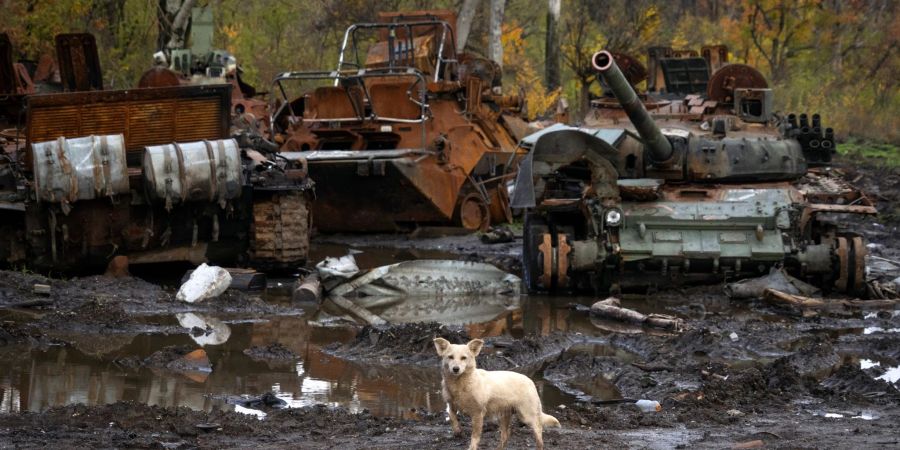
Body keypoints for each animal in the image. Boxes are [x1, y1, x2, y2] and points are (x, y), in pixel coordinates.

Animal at [432, 338, 560, 450]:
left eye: (464, 358)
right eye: (450, 357)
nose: (455, 369)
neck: (461, 384)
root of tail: (530, 381)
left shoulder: (478, 414)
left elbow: (475, 437)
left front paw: (471, 446)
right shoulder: (451, 405)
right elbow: (452, 417)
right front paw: (458, 431)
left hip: (527, 415)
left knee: (539, 433)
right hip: (504, 415)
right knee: (505, 435)